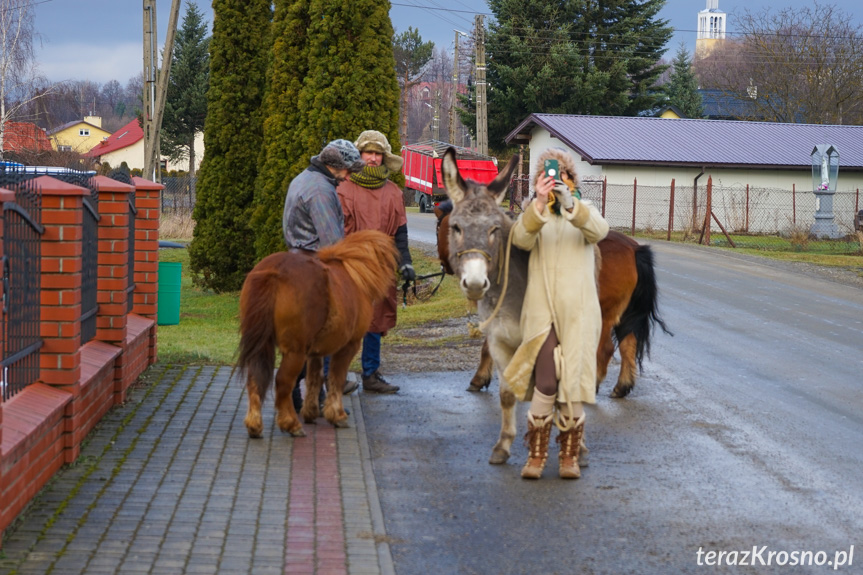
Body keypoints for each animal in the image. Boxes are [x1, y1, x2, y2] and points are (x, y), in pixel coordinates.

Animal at [236, 230, 398, 436]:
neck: (355, 274)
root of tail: (273, 271)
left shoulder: (315, 352)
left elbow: (315, 378)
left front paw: (311, 412)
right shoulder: (348, 346)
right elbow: (336, 378)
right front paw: (337, 415)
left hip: (265, 347)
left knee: (255, 379)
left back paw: (255, 425)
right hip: (295, 352)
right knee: (283, 382)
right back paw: (291, 424)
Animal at [442, 148, 672, 464]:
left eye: (494, 229)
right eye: (456, 228)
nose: (475, 282)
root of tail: (635, 247)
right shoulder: (502, 336)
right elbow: (507, 388)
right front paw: (505, 443)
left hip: (602, 313)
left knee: (603, 350)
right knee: (627, 344)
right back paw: (620, 387)